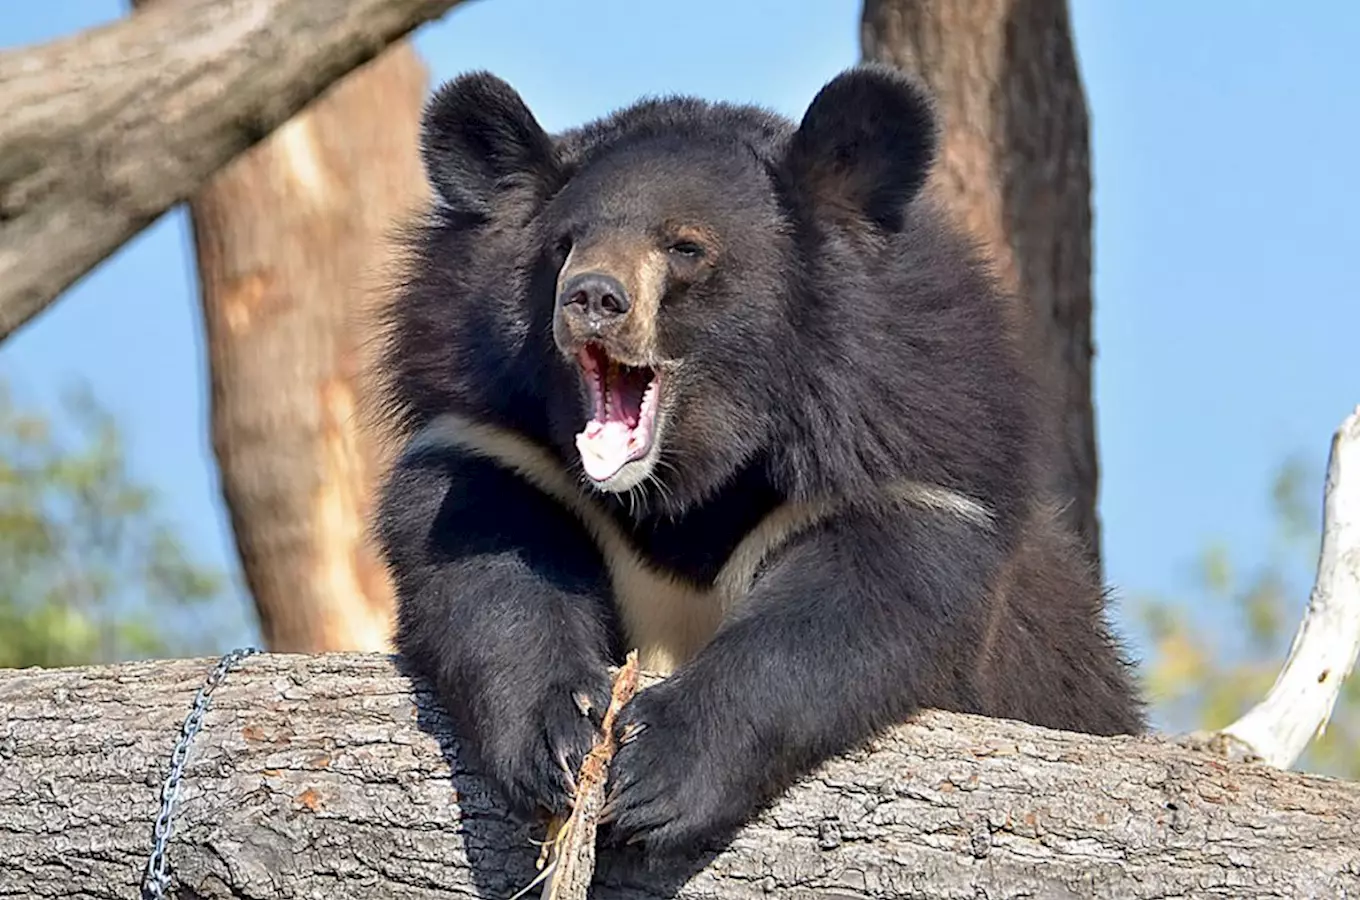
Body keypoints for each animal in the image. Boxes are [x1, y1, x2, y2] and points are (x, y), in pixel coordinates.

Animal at [372, 65, 1147, 859]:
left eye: (685, 247)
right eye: (562, 244)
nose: (592, 297)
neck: (687, 479)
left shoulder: (908, 455)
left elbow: (847, 609)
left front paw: (657, 769)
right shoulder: (498, 442)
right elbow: (492, 569)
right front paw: (561, 736)